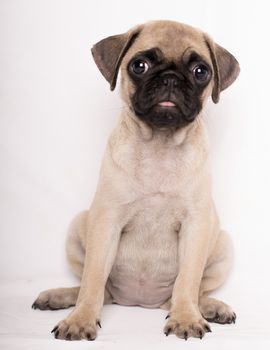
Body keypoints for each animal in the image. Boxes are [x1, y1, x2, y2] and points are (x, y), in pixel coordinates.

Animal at [32, 20, 240, 340]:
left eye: (200, 71)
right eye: (139, 66)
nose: (170, 78)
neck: (160, 144)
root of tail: (139, 302)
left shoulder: (196, 225)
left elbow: (188, 281)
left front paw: (186, 317)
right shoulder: (106, 221)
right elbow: (92, 279)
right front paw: (80, 319)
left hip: (223, 246)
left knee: (195, 291)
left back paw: (210, 307)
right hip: (79, 226)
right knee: (97, 291)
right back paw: (59, 296)